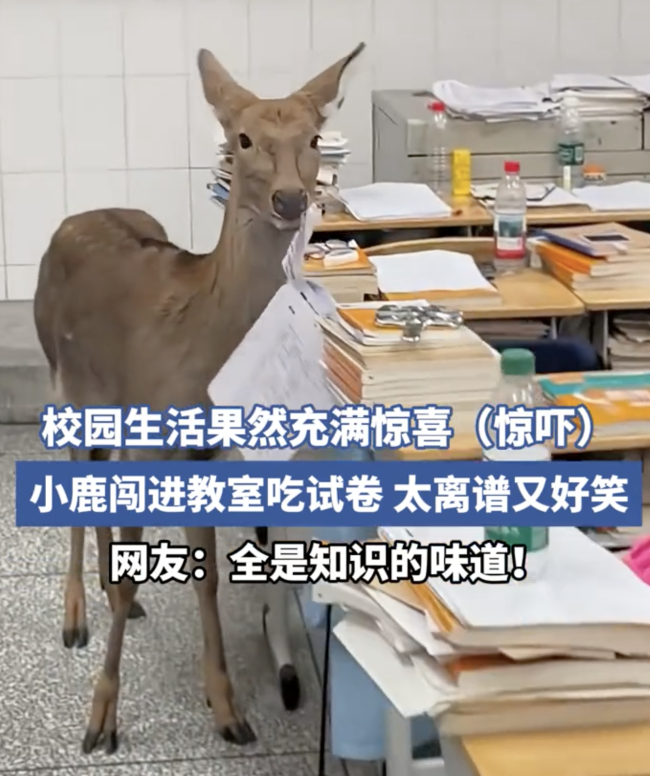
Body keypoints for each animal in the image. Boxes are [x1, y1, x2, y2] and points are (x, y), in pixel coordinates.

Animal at [32, 41, 365, 754]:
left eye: (314, 137)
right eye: (242, 138)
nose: (291, 198)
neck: (195, 347)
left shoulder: (202, 454)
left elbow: (207, 573)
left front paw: (228, 708)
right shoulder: (150, 434)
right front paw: (100, 720)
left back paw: (112, 597)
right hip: (66, 382)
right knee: (76, 479)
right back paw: (76, 615)